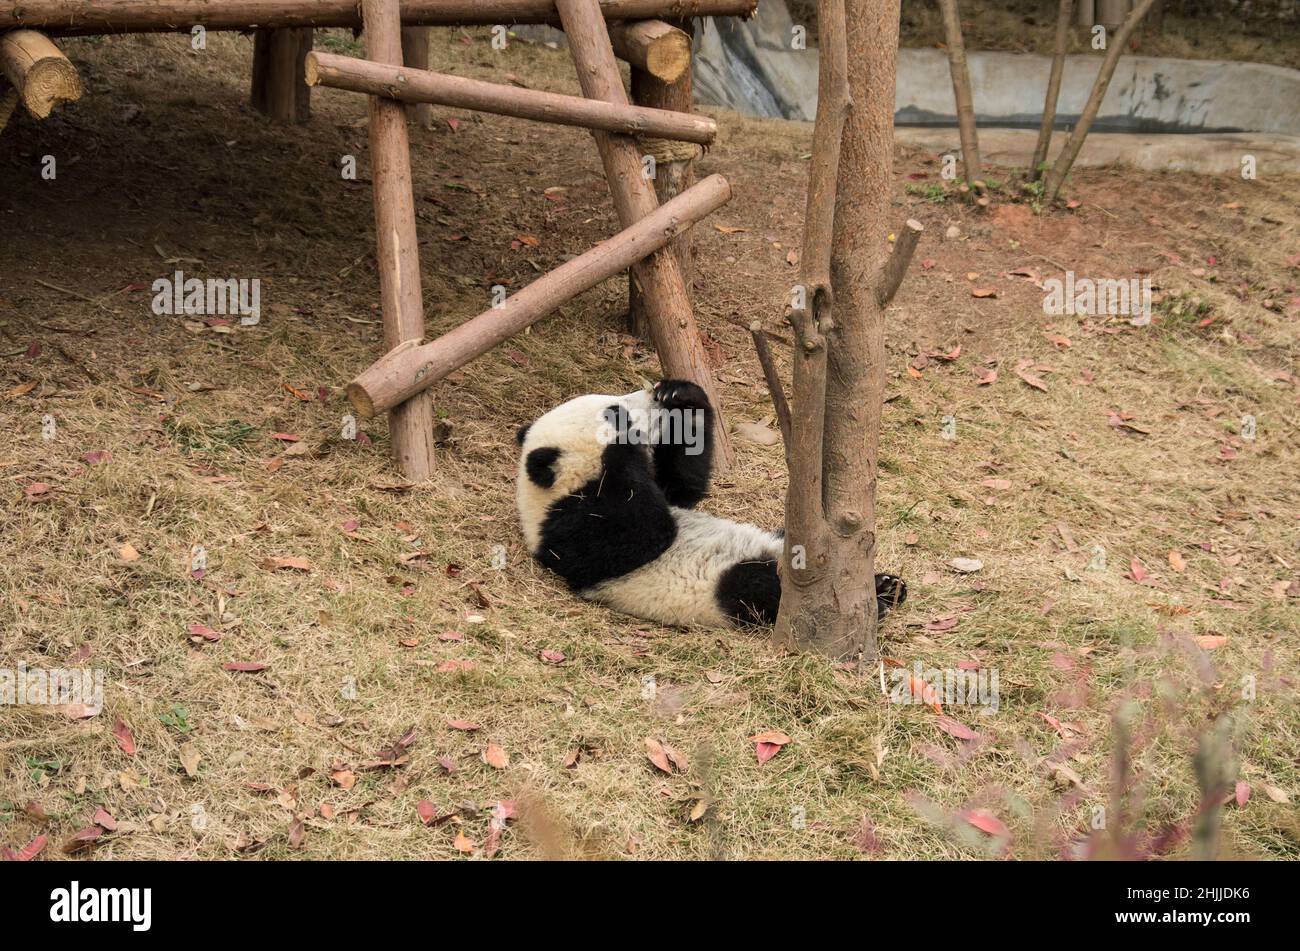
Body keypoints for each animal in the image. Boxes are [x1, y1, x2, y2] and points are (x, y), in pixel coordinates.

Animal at [512, 379, 909, 631]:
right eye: (615, 412)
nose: (650, 396)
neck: (550, 494)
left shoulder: (665, 491)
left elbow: (682, 487)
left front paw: (681, 395)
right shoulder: (567, 531)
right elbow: (640, 535)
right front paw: (623, 447)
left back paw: (886, 583)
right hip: (720, 589)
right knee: (757, 588)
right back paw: (879, 600)